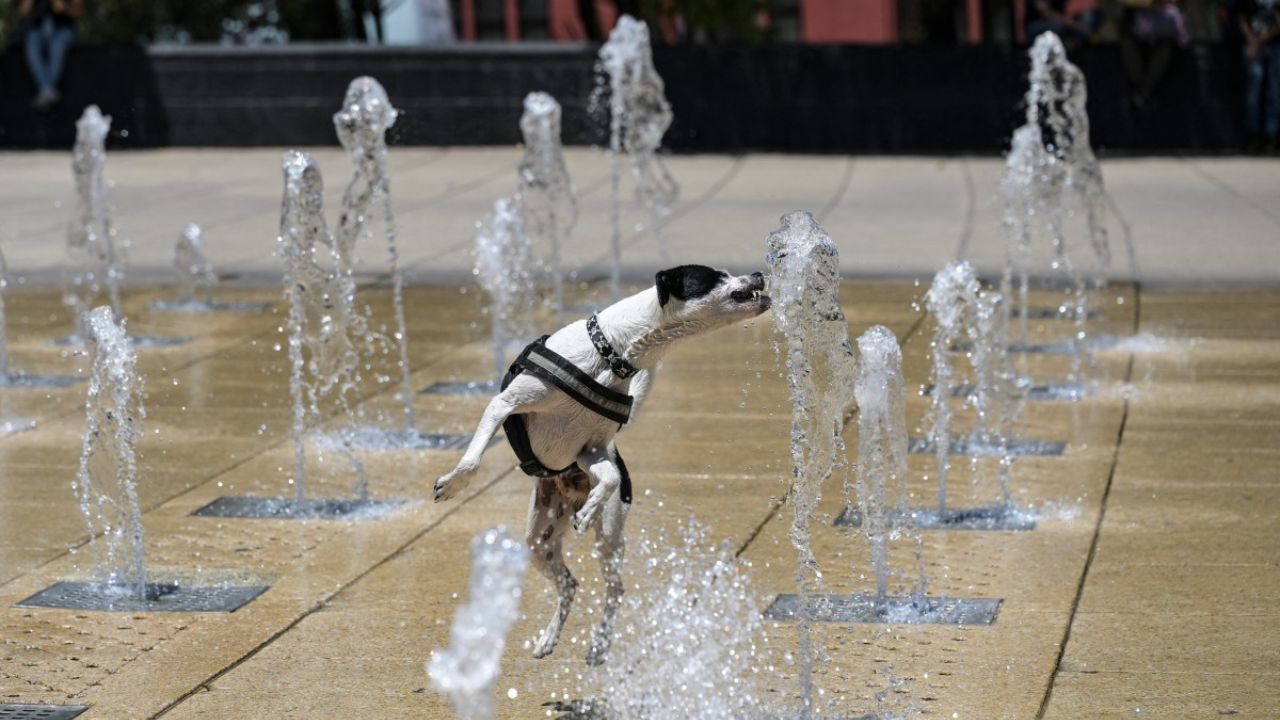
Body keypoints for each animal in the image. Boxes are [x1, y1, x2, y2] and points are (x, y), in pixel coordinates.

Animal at [435, 263, 768, 661]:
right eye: (715, 276)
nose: (759, 274)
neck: (612, 354)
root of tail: (565, 498)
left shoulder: (592, 450)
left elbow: (609, 478)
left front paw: (592, 506)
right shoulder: (505, 405)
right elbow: (472, 461)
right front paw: (454, 484)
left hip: (607, 539)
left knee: (610, 587)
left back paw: (598, 641)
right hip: (539, 543)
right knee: (570, 584)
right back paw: (549, 637)